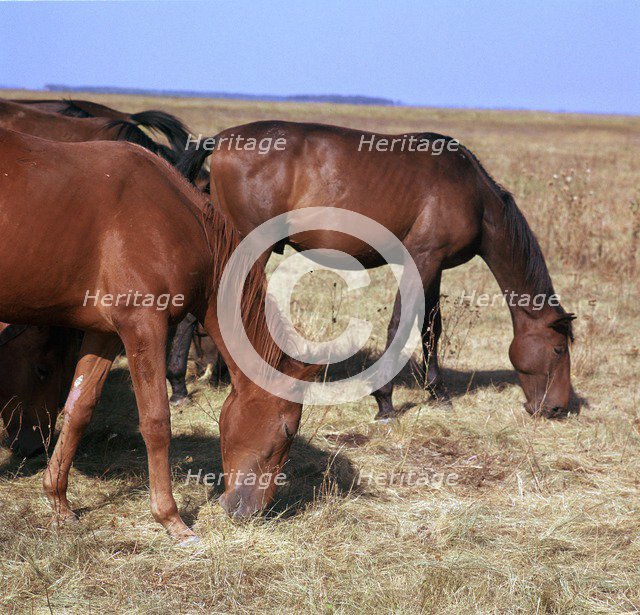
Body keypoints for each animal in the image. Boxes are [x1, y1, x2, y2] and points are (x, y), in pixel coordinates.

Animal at [176, 120, 575, 420]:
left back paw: (183, 384)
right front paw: (384, 400)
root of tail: (220, 140)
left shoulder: (435, 266)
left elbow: (431, 328)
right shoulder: (422, 259)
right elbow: (401, 325)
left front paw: (437, 392)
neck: (473, 195)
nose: (556, 408)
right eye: (558, 350)